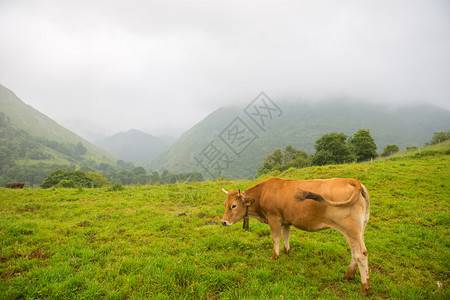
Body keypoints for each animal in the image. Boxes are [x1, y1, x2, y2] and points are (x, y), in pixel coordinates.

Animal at [220, 178, 370, 296]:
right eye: (225, 205)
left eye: (233, 205)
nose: (223, 222)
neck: (263, 194)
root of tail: (352, 180)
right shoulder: (286, 220)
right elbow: (286, 235)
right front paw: (286, 251)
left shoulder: (274, 218)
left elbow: (276, 238)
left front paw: (274, 256)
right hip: (360, 228)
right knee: (354, 252)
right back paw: (349, 275)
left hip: (350, 229)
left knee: (360, 253)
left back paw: (365, 287)